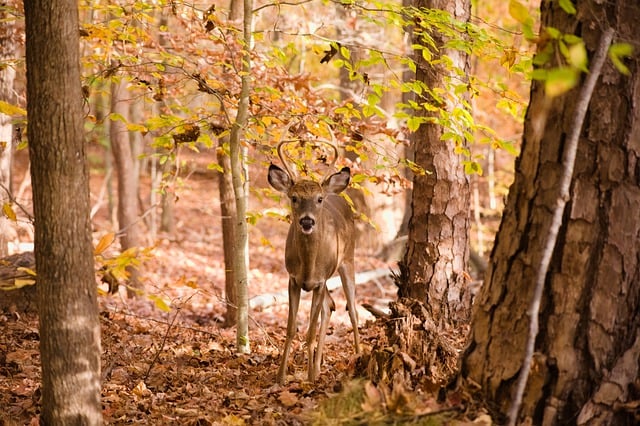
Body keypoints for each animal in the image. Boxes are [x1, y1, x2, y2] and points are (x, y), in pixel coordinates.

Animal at [266, 136, 360, 382]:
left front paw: (308, 378)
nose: (307, 221)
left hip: (348, 260)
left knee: (353, 311)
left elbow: (309, 332)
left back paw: (358, 355)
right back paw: (317, 367)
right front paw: (281, 376)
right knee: (329, 306)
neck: (308, 266)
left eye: (318, 199)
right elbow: (291, 329)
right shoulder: (293, 279)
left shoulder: (319, 281)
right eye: (294, 197)